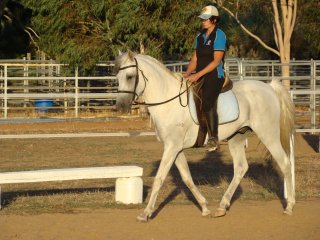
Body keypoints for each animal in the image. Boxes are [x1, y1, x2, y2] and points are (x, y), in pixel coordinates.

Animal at [114, 51, 296, 222]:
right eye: (117, 77)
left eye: (130, 76)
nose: (120, 107)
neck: (168, 100)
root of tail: (269, 87)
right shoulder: (175, 148)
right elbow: (187, 178)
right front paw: (205, 208)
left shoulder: (172, 147)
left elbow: (159, 178)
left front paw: (145, 214)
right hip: (237, 138)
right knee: (241, 168)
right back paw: (222, 206)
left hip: (268, 135)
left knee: (285, 164)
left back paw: (289, 206)